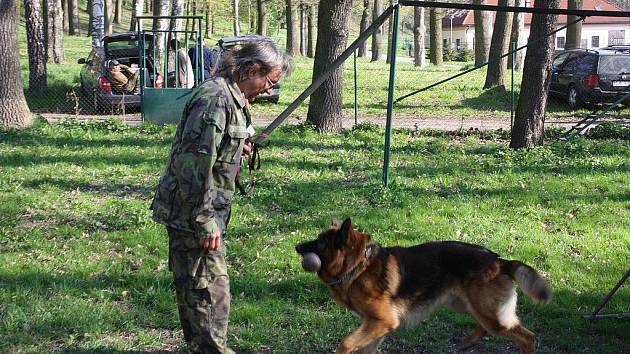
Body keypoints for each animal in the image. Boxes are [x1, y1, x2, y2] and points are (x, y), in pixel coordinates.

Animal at [296, 217, 552, 352]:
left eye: (320, 242)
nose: (296, 246)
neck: (360, 266)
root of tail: (500, 261)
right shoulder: (375, 326)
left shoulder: (382, 322)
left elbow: (346, 343)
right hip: (467, 305)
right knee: (486, 327)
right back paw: (468, 341)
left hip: (490, 315)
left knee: (527, 336)